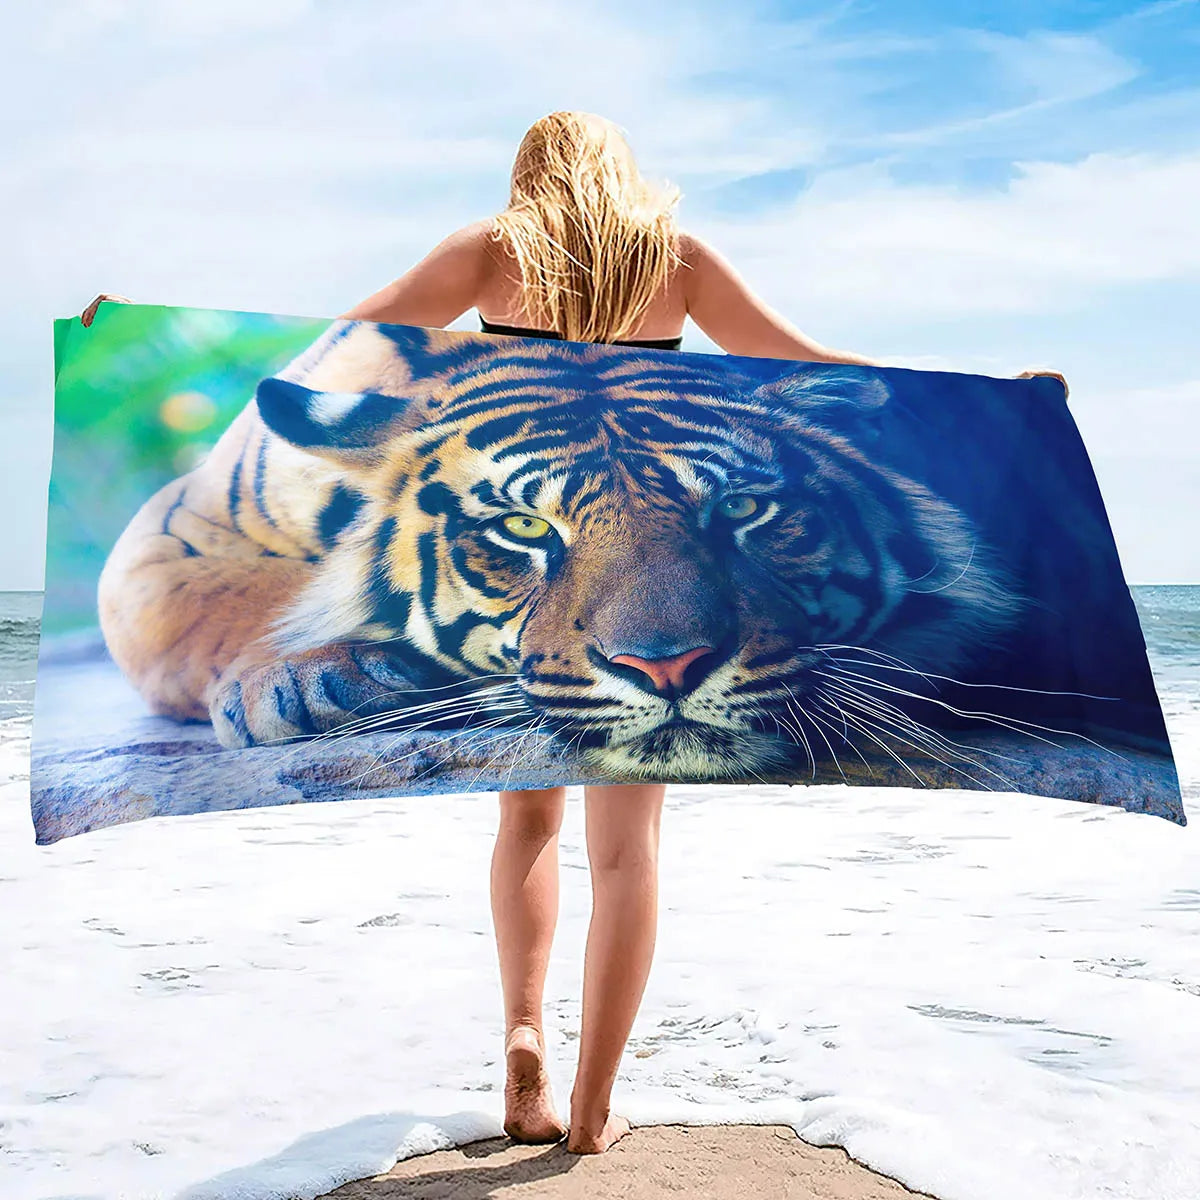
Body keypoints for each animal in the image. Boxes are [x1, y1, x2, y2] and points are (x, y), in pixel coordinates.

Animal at [97, 320, 1022, 780]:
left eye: (741, 508)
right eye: (525, 528)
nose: (667, 668)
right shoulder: (163, 536)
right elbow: (239, 599)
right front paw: (304, 679)